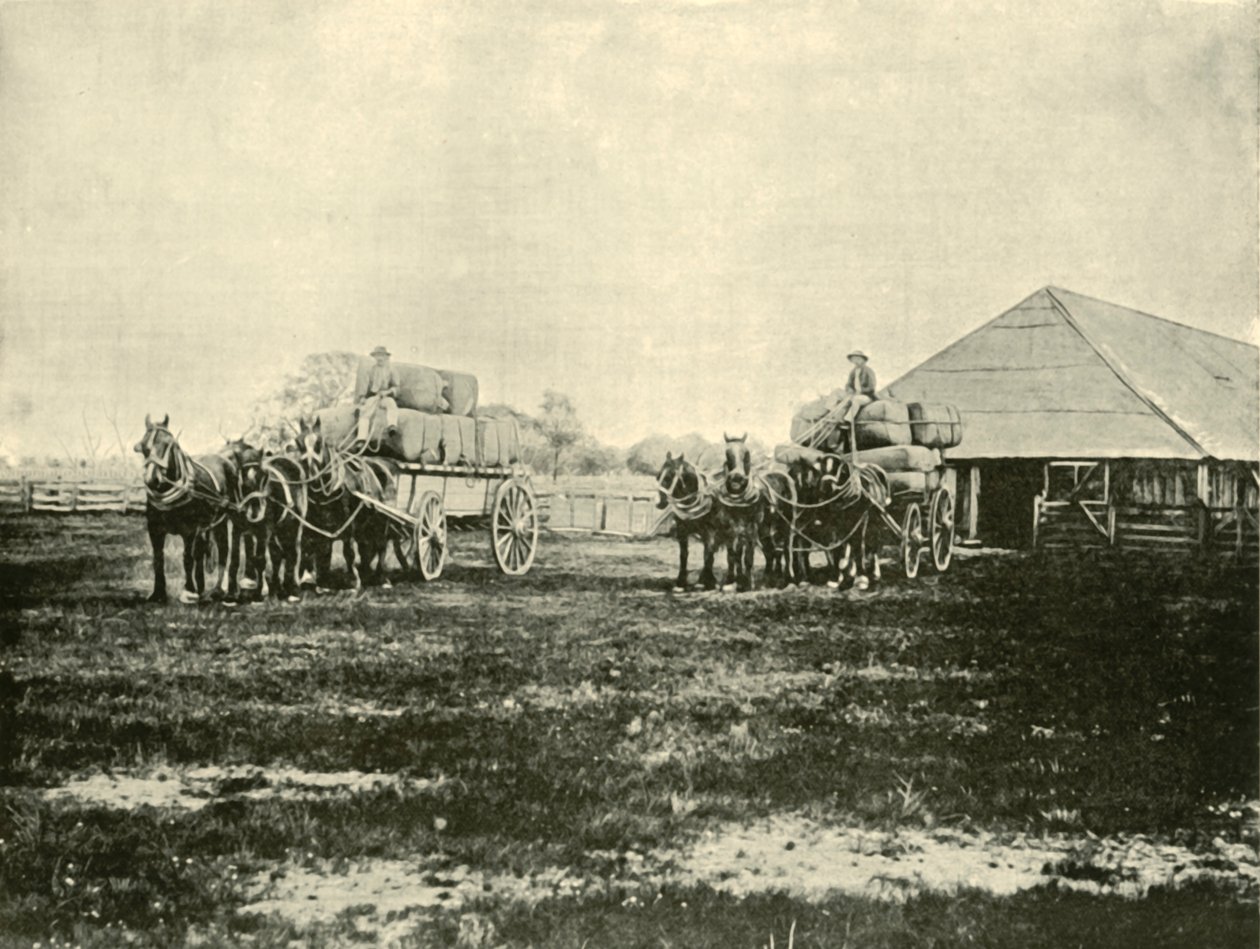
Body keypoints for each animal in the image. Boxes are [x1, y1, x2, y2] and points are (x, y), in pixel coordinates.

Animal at [134, 415, 241, 607]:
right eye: (145, 446)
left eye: (169, 444)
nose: (152, 479)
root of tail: (224, 459)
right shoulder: (155, 530)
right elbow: (158, 559)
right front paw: (158, 593)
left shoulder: (189, 530)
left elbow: (187, 559)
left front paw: (188, 592)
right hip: (213, 523)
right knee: (210, 550)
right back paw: (208, 589)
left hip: (229, 517)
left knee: (227, 548)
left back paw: (225, 589)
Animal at [655, 451, 715, 592]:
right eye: (658, 476)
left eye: (669, 477)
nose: (659, 502)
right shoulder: (682, 531)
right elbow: (683, 555)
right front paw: (680, 583)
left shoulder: (708, 532)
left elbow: (707, 554)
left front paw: (708, 582)